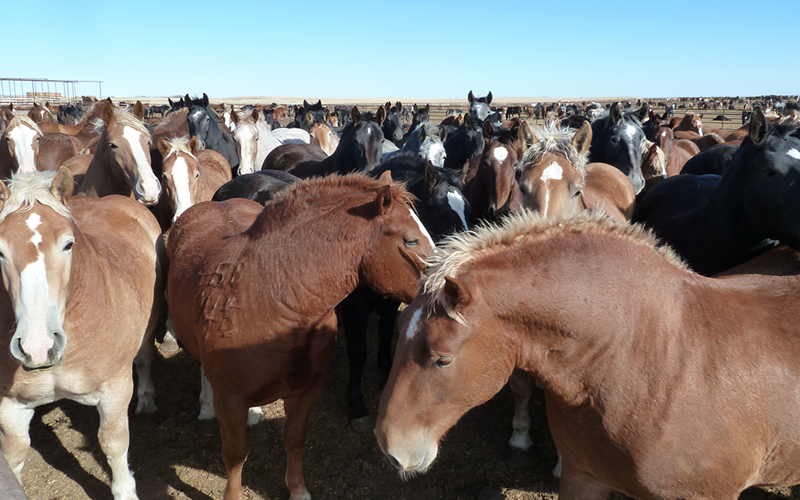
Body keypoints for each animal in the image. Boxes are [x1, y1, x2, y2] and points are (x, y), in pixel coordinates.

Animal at [0, 169, 162, 500]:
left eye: (67, 245)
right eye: (0, 252)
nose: (38, 346)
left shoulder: (115, 391)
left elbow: (113, 443)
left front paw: (125, 491)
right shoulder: (11, 406)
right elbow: (14, 456)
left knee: (144, 359)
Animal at [165, 173, 434, 500]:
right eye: (411, 240)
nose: (449, 288)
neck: (273, 302)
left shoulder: (305, 391)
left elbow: (294, 438)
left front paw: (297, 489)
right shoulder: (230, 399)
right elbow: (236, 454)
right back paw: (205, 406)